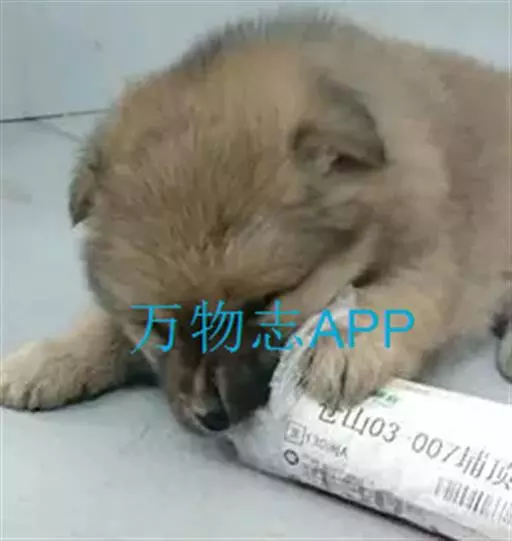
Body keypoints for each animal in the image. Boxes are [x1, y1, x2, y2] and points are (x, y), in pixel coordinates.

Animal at [1, 10, 510, 433]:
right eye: (159, 328)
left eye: (264, 302)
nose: (210, 416)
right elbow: (102, 323)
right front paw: (48, 358)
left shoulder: (436, 252)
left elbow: (399, 295)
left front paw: (348, 343)